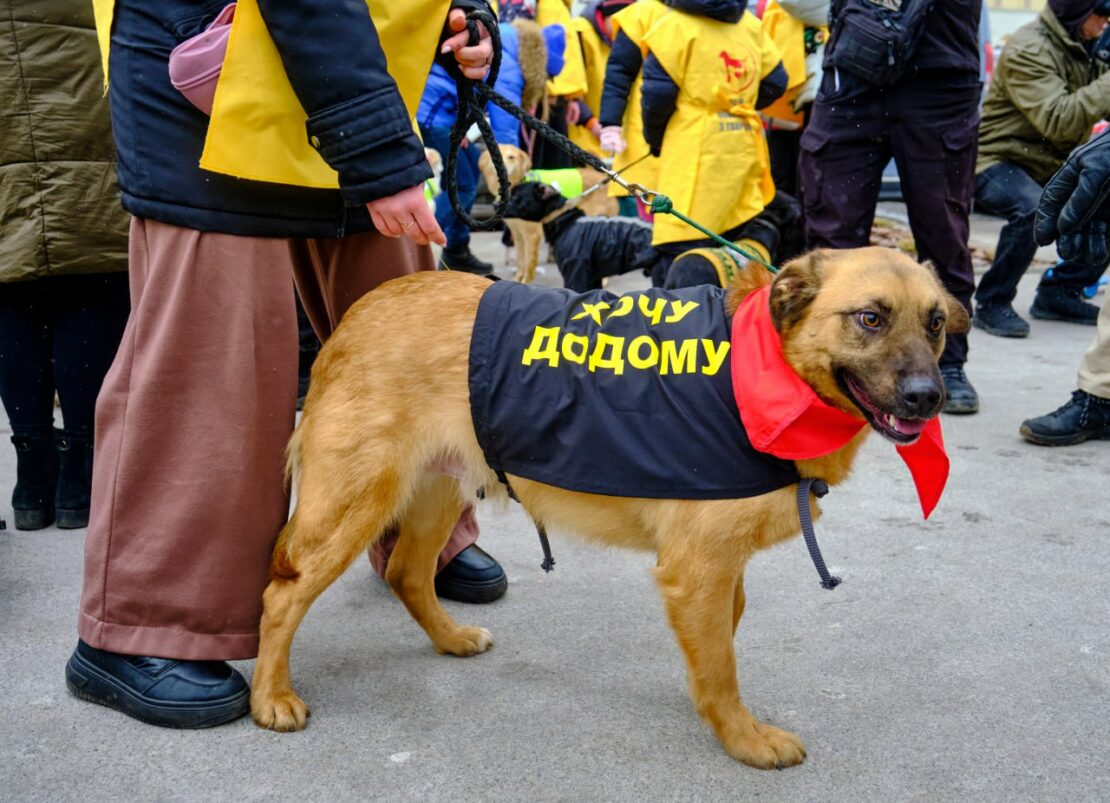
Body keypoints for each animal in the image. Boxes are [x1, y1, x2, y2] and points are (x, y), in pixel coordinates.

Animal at [247, 247, 967, 768]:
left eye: (935, 321)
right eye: (870, 317)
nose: (927, 397)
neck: (764, 370)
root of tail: (357, 314)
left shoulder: (715, 569)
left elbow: (724, 635)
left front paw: (709, 704)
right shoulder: (697, 568)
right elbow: (723, 660)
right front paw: (741, 735)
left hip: (435, 494)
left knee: (405, 573)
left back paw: (449, 638)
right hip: (350, 507)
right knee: (281, 596)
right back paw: (271, 697)